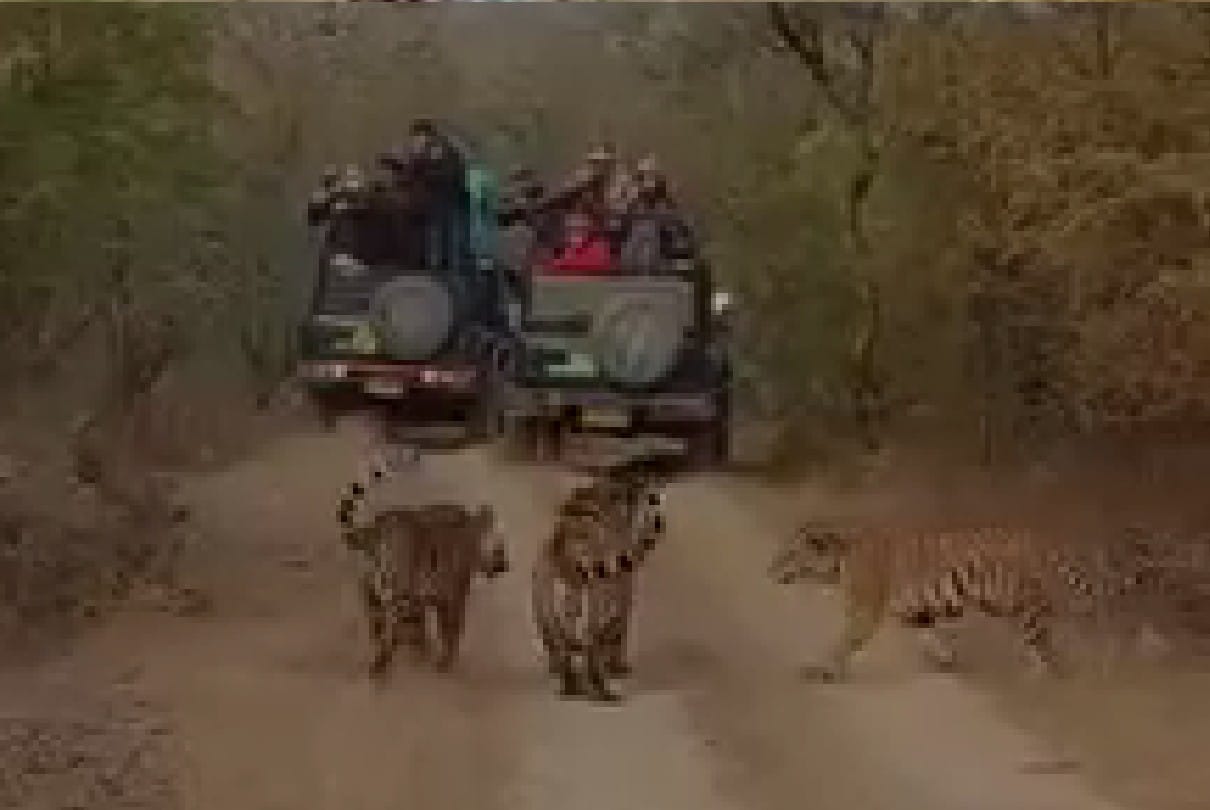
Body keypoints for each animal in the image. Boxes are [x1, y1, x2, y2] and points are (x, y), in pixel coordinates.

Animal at [338, 449, 509, 677]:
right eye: (502, 548)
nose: (507, 565)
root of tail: (375, 528)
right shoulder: (452, 598)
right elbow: (451, 630)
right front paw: (443, 661)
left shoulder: (421, 598)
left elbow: (421, 628)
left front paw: (421, 652)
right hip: (395, 590)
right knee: (390, 629)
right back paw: (382, 663)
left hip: (370, 591)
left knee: (377, 625)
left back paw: (381, 657)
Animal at [530, 456, 667, 702]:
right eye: (653, 499)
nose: (659, 522)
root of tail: (561, 543)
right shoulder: (623, 584)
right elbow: (620, 626)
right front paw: (616, 664)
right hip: (594, 596)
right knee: (590, 641)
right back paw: (602, 689)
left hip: (546, 602)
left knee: (561, 641)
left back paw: (569, 684)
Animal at [767, 521, 1154, 683]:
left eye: (788, 555)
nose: (769, 570)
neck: (838, 561)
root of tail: (1037, 538)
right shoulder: (915, 613)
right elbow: (929, 635)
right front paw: (947, 659)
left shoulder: (865, 611)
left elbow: (843, 642)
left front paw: (824, 670)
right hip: (1005, 606)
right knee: (1042, 641)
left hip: (1023, 605)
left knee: (1046, 642)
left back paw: (1042, 679)